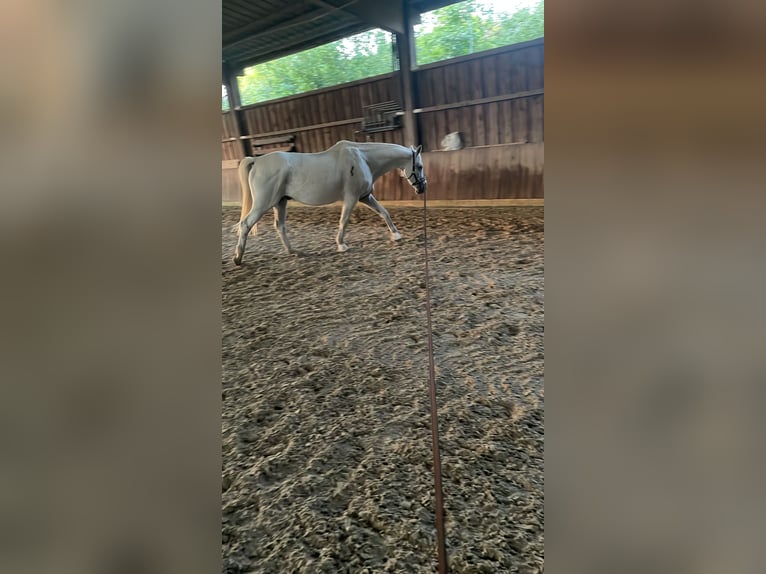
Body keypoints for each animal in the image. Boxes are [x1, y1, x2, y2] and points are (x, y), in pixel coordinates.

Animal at [233, 140, 427, 265]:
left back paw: (293, 252)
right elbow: (344, 221)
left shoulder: (365, 196)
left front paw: (396, 235)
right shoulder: (351, 197)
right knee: (245, 224)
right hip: (263, 203)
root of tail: (257, 160)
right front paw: (341, 245)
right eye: (419, 166)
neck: (362, 159)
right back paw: (238, 258)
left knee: (279, 226)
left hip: (280, 202)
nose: (422, 188)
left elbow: (384, 212)